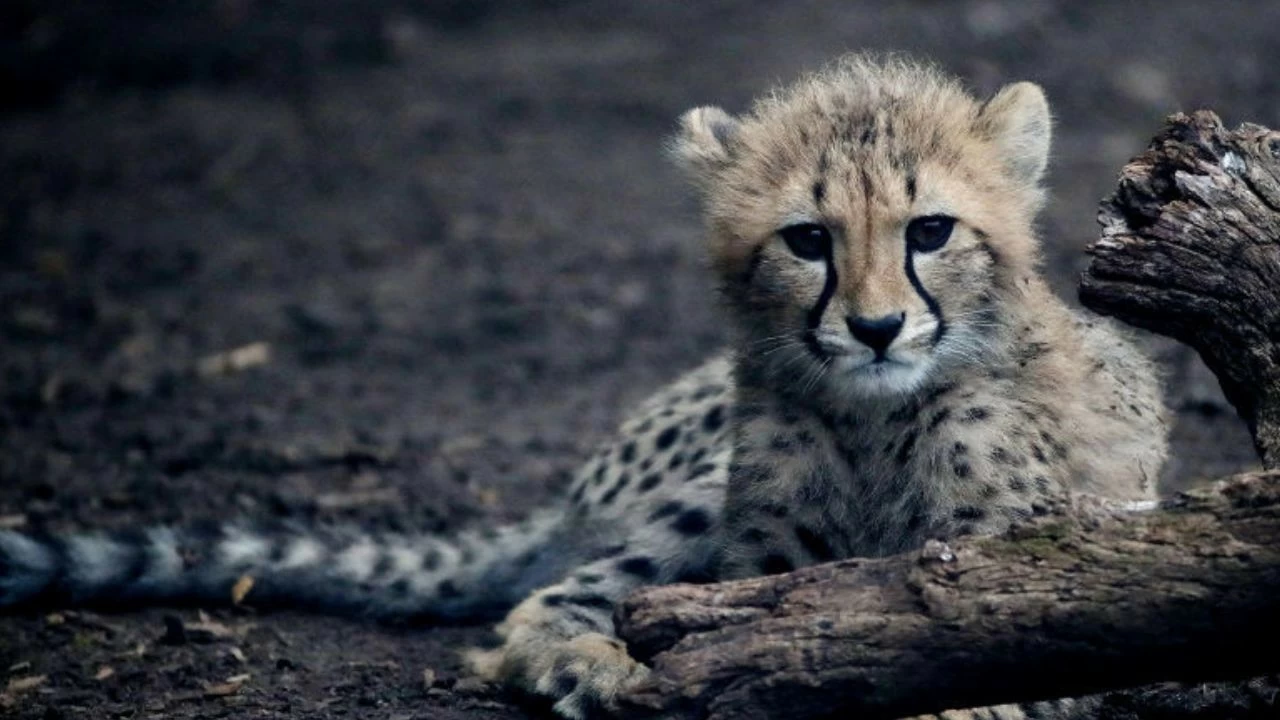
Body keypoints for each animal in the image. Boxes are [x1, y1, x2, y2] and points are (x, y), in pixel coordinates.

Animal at [0, 54, 1168, 719]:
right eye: (807, 239)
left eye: (930, 232)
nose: (876, 328)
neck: (871, 419)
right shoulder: (769, 566)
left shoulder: (1018, 582)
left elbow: (974, 678)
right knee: (540, 607)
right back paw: (590, 670)